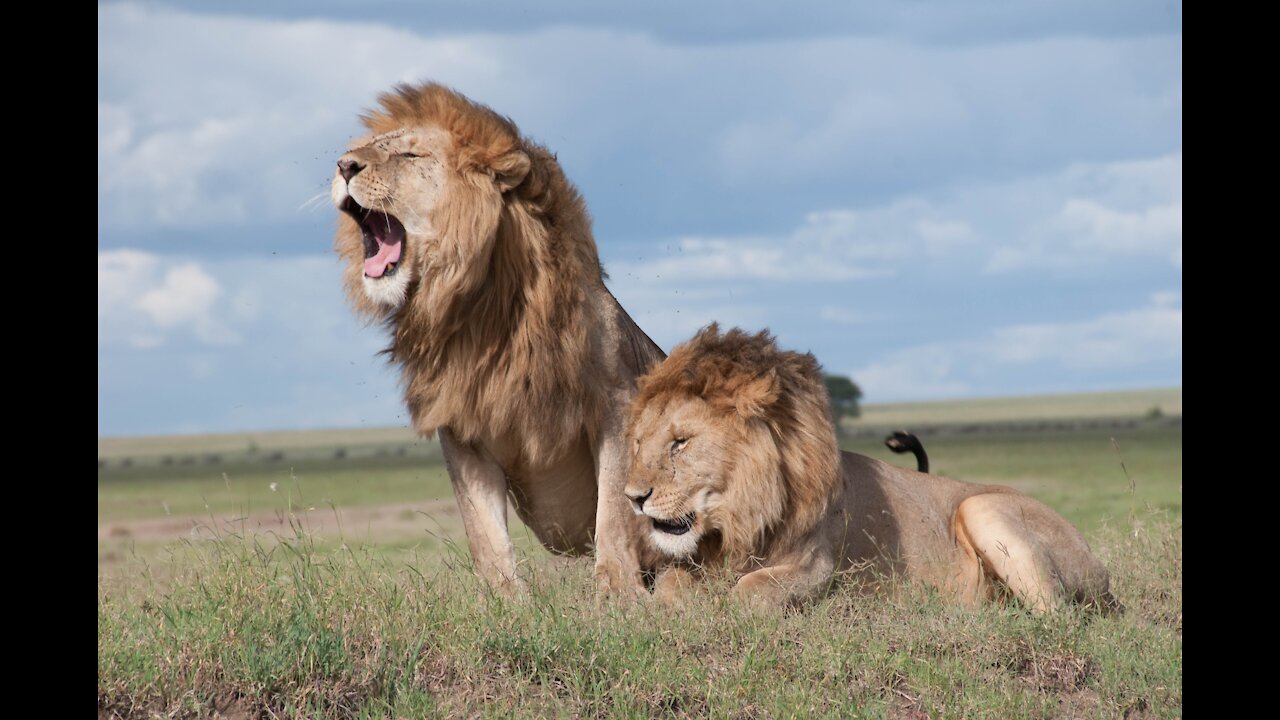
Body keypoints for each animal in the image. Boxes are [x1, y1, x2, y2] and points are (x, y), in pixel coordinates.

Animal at [332, 82, 660, 594]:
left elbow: (614, 511)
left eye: (408, 154)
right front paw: (504, 599)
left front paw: (618, 593)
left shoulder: (617, 403)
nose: (344, 165)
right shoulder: (461, 425)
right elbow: (482, 529)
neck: (480, 312)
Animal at [624, 325, 1116, 609]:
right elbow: (670, 584)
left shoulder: (818, 566)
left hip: (983, 507)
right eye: (639, 442)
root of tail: (1101, 570)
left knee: (1056, 616)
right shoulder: (692, 561)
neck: (739, 518)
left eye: (680, 443)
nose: (633, 498)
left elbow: (751, 590)